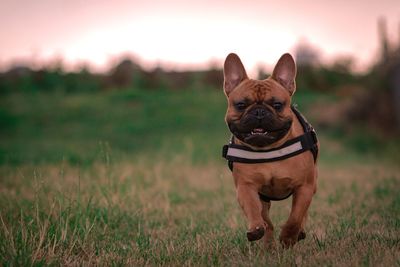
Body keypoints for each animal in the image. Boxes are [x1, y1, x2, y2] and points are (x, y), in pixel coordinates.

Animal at [222, 53, 318, 248]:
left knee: (303, 214)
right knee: (266, 218)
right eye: (241, 105)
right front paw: (256, 228)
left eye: (277, 104)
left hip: (313, 185)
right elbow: (254, 210)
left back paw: (299, 232)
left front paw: (288, 237)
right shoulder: (246, 187)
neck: (268, 150)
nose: (259, 112)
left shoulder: (304, 187)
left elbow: (295, 216)